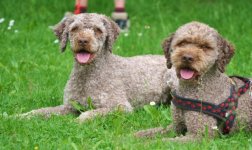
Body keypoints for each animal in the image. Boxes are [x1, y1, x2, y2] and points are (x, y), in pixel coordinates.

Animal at [20, 13, 172, 122]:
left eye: (98, 30)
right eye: (74, 29)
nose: (83, 40)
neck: (87, 76)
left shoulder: (121, 107)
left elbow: (88, 114)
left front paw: (76, 122)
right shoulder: (69, 106)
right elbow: (42, 110)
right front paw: (22, 116)